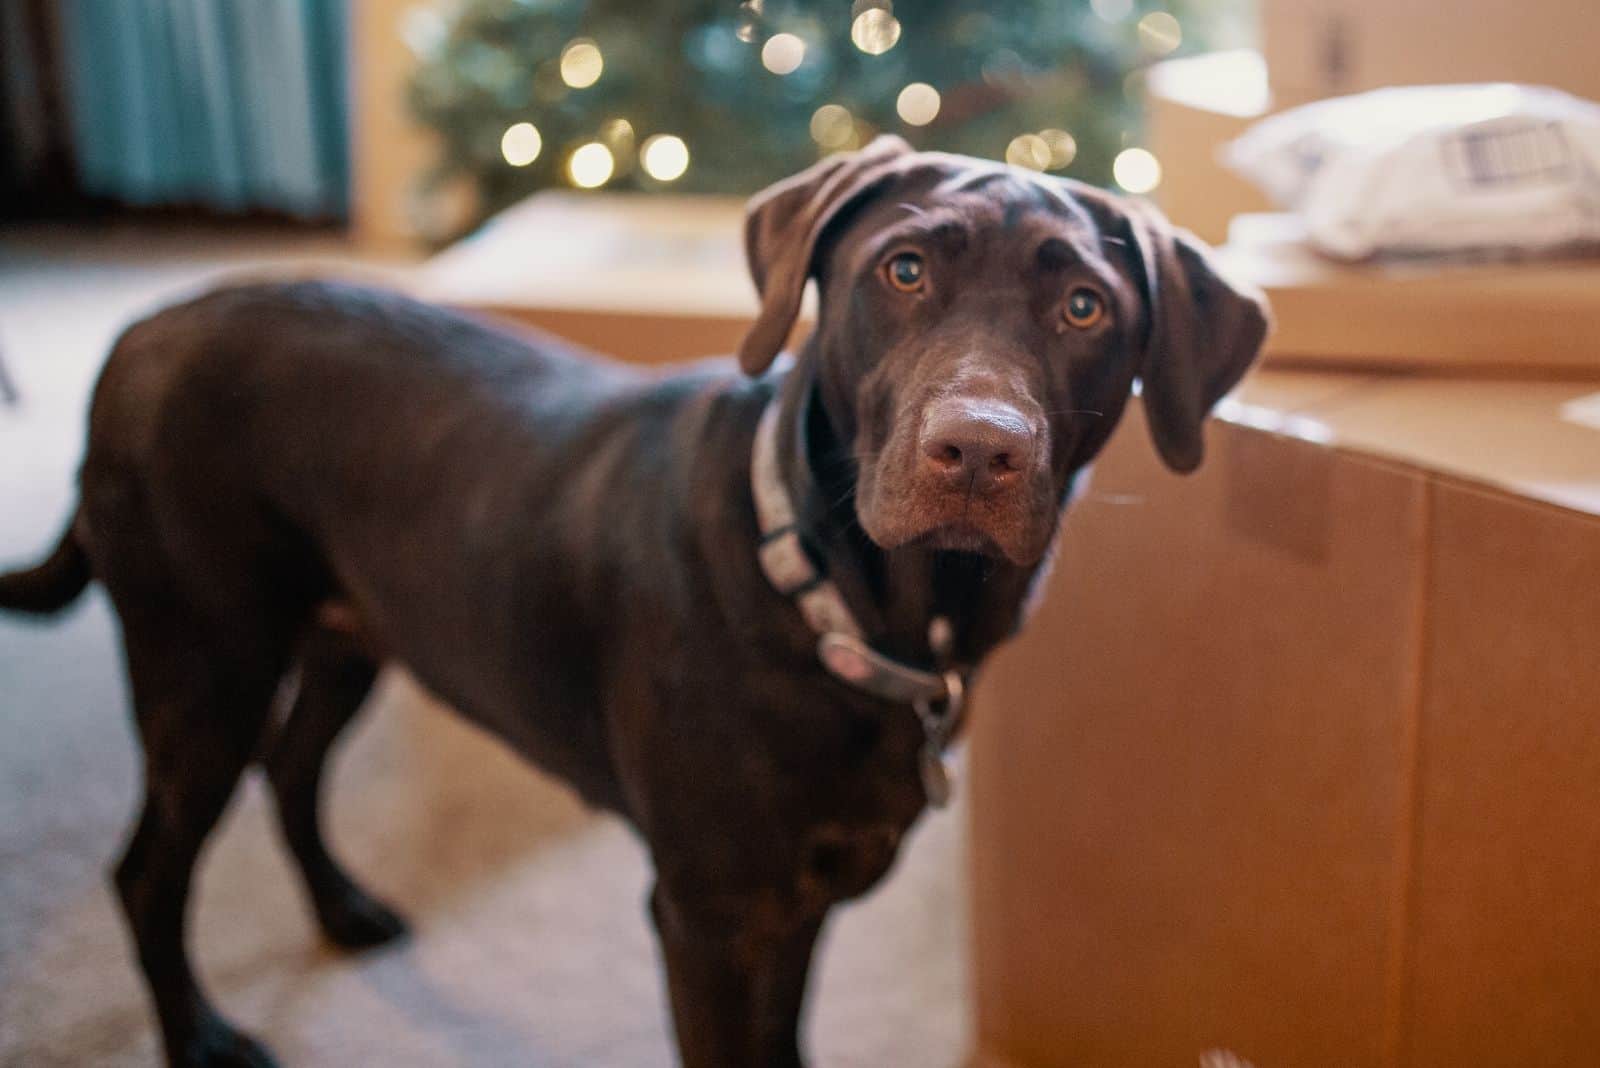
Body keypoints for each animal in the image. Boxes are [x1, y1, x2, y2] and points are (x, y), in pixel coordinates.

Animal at [3, 137, 1273, 1061]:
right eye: (903, 271)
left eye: (1084, 308)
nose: (978, 449)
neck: (842, 605)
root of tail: (144, 329)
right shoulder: (707, 916)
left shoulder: (797, 904)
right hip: (202, 661)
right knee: (148, 870)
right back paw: (203, 1039)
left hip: (344, 635)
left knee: (293, 767)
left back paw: (343, 912)